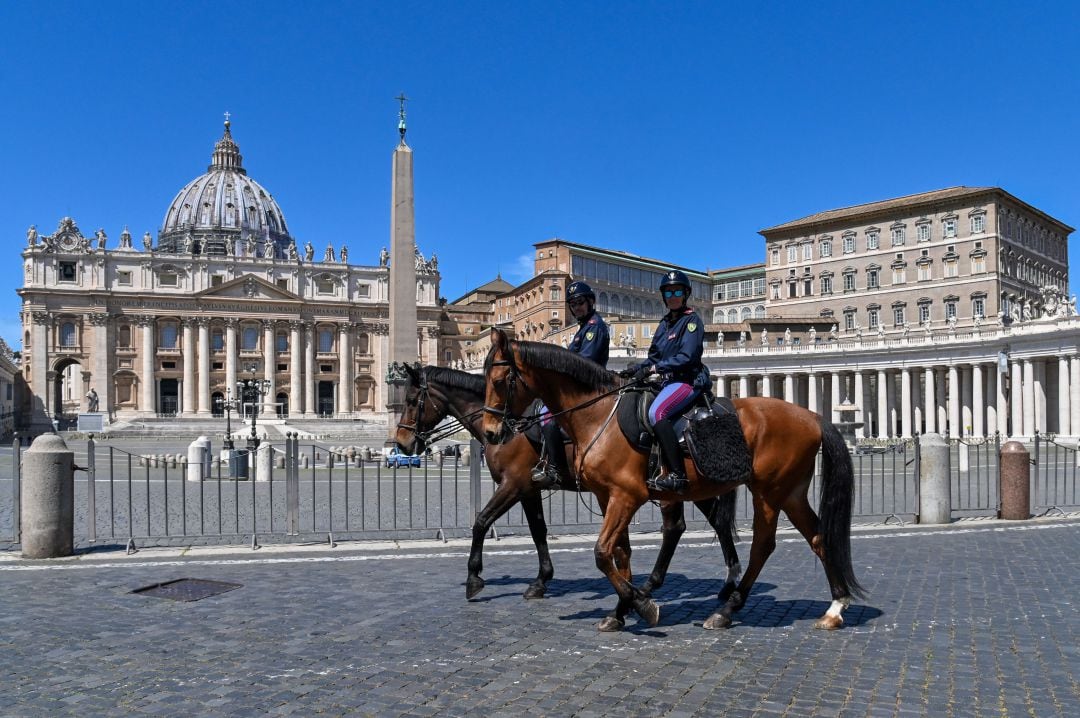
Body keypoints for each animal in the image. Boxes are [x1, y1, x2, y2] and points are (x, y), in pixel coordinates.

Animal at [390, 360, 743, 608]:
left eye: (411, 399)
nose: (402, 444)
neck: (508, 425)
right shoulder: (529, 488)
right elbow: (538, 531)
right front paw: (541, 580)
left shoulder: (513, 485)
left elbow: (480, 522)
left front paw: (474, 578)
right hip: (694, 485)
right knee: (715, 522)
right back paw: (726, 584)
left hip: (669, 484)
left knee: (679, 527)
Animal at [486, 328, 864, 630]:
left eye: (500, 381)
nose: (492, 433)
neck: (597, 416)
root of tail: (813, 417)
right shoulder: (607, 496)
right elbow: (618, 552)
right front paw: (622, 609)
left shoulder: (626, 495)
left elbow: (602, 552)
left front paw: (641, 605)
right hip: (790, 491)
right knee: (818, 537)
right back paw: (834, 608)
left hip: (768, 492)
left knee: (762, 545)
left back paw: (726, 610)